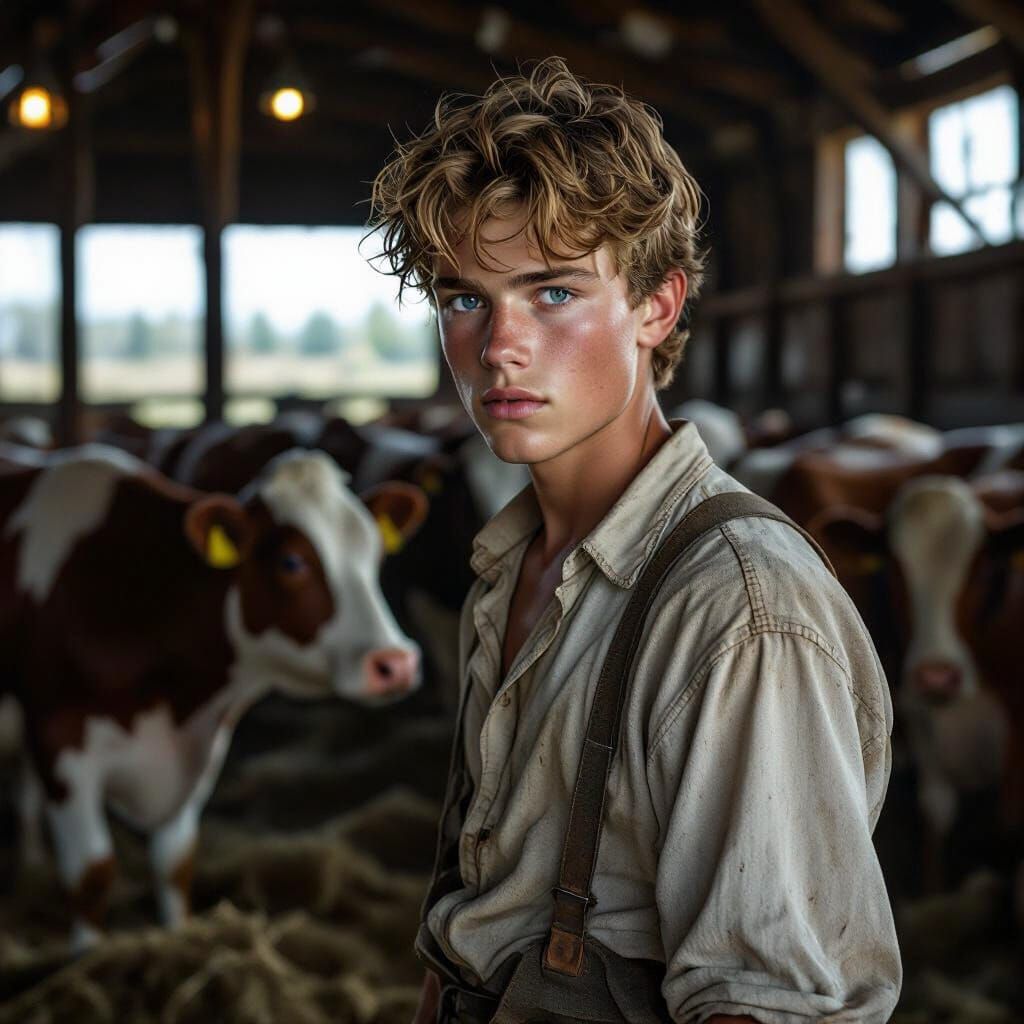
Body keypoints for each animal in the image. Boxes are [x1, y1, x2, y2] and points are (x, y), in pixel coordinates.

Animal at [0, 443, 426, 949]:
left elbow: (175, 863)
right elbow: (91, 871)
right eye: (291, 563)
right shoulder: (60, 741)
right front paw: (85, 954)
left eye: (374, 553)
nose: (396, 663)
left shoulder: (199, 752)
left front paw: (178, 936)